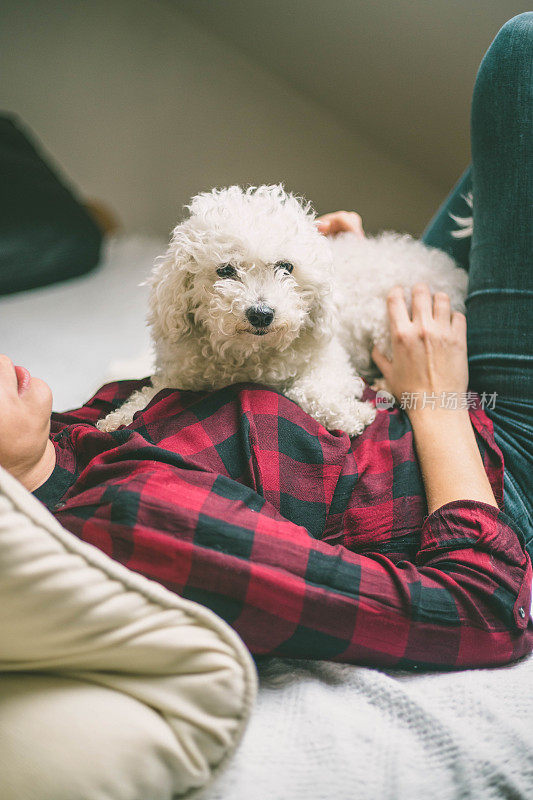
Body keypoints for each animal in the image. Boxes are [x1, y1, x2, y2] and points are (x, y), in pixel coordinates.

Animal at [98, 186, 466, 438]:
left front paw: (354, 414)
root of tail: (448, 269)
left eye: (286, 267)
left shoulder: (328, 361)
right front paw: (119, 417)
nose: (261, 314)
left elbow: (307, 390)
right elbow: (151, 393)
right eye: (225, 270)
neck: (248, 356)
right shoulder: (183, 375)